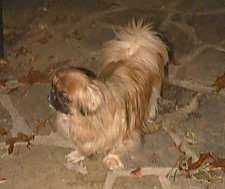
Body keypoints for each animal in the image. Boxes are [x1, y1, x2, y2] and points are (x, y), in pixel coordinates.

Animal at [48, 19, 170, 173]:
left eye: (64, 96)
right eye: (53, 87)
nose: (51, 95)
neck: (82, 120)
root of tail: (134, 57)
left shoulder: (123, 134)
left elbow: (116, 147)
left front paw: (111, 160)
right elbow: (85, 147)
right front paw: (78, 154)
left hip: (152, 97)